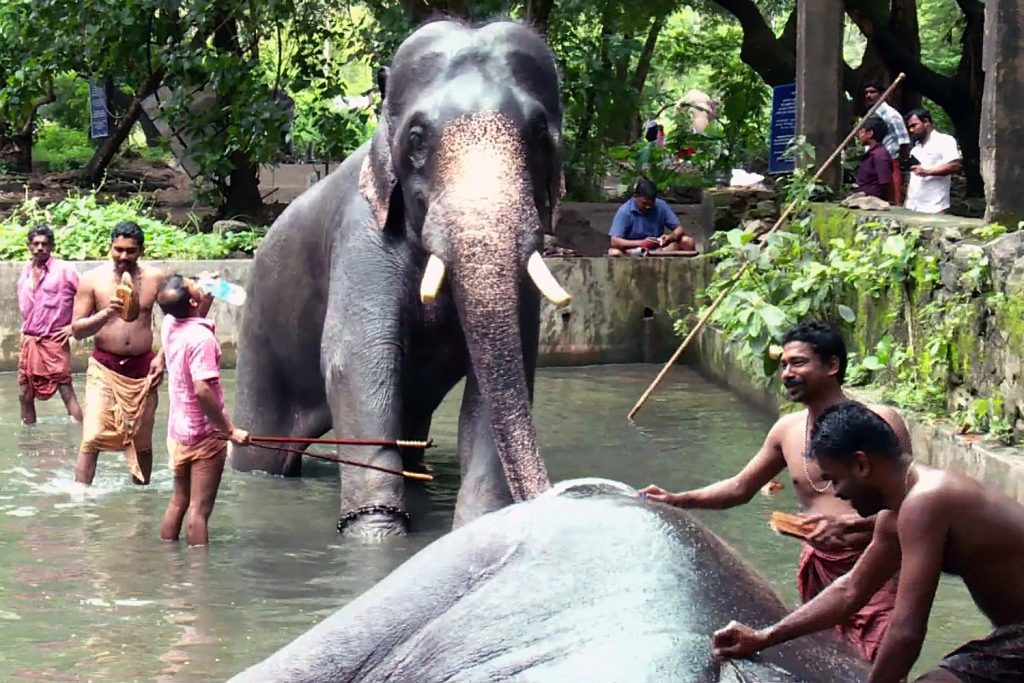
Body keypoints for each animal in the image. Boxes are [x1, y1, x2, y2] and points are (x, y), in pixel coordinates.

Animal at [229, 18, 573, 536]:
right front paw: (376, 536)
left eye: (537, 133)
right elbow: (356, 362)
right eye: (416, 137)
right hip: (260, 338)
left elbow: (497, 382)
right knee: (263, 454)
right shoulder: (360, 235)